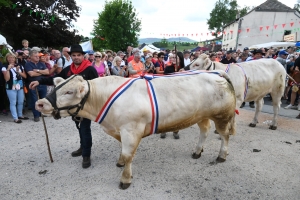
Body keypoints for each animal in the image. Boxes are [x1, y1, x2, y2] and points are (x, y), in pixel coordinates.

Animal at [35, 71, 237, 189]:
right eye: (55, 87)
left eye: (69, 92)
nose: (40, 103)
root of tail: (217, 74)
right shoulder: (118, 130)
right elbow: (122, 152)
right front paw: (119, 162)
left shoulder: (131, 130)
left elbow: (128, 155)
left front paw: (125, 179)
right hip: (201, 115)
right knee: (204, 130)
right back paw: (197, 151)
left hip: (222, 116)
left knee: (225, 135)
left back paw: (221, 155)